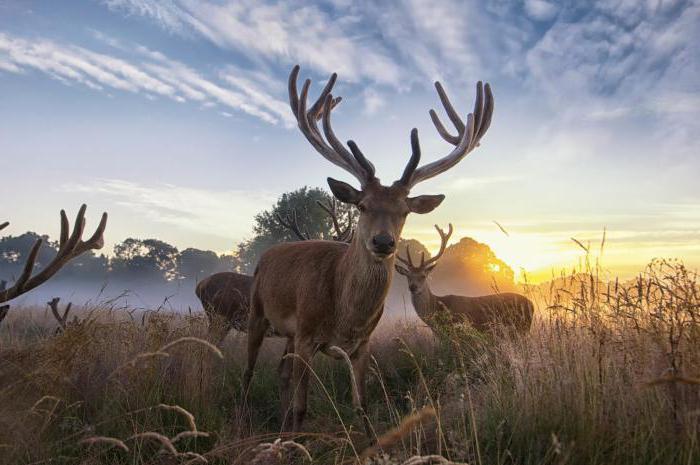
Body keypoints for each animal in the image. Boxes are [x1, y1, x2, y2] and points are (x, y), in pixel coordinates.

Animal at [243, 64, 494, 432]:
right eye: (361, 205)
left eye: (404, 211)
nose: (383, 242)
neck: (345, 314)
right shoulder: (306, 334)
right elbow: (304, 408)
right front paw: (295, 434)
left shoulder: (362, 344)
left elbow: (361, 406)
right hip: (257, 313)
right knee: (249, 373)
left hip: (287, 333)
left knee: (282, 372)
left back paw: (281, 424)